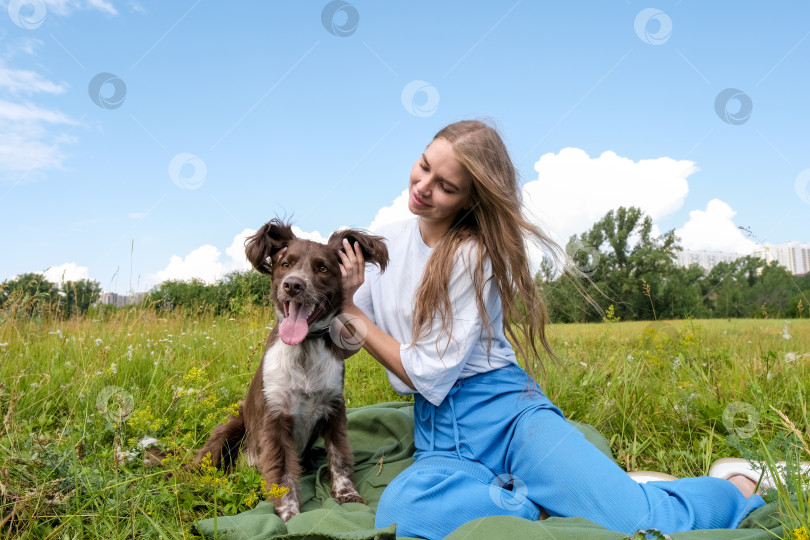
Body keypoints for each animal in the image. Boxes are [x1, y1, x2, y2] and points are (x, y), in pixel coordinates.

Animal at [194, 217, 386, 520]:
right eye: (285, 263)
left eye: (322, 268)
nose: (293, 285)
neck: (304, 348)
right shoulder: (275, 418)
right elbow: (282, 472)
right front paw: (289, 514)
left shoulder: (335, 409)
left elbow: (339, 455)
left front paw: (347, 494)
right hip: (228, 427)